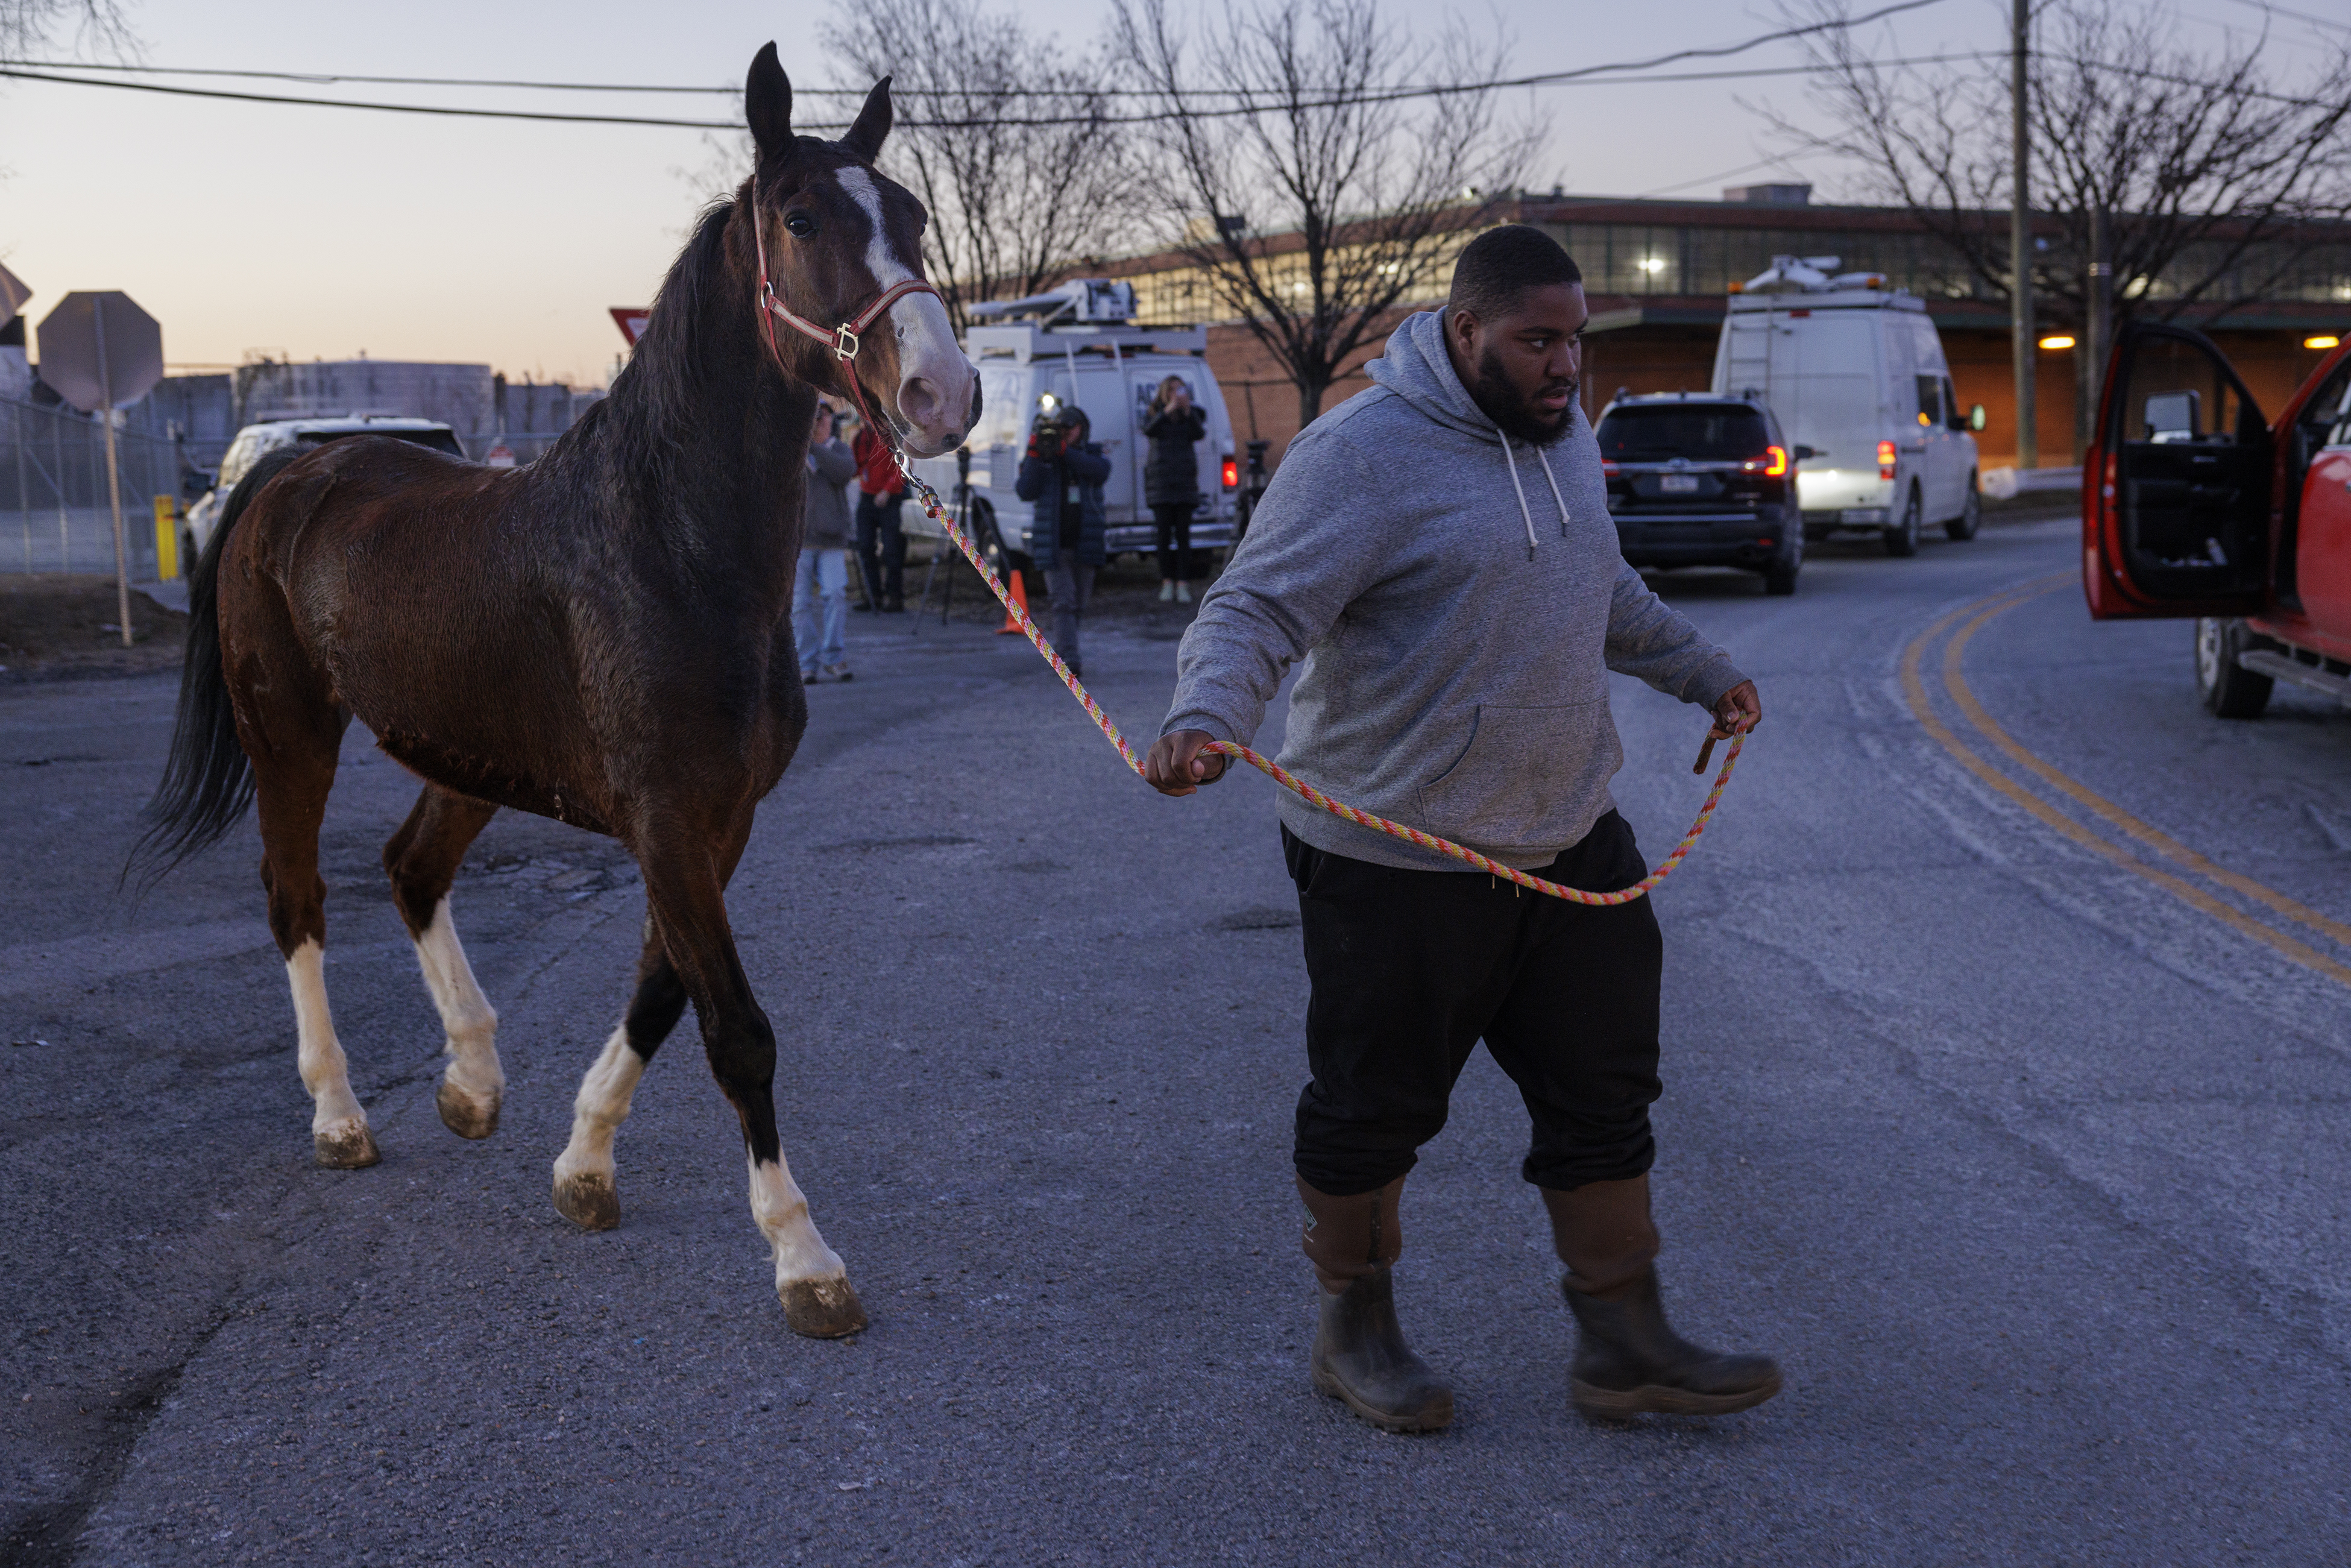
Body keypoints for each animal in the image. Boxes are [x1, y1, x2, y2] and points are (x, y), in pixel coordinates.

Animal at [135, 43, 973, 1335]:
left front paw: (582, 1167)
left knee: (411, 870)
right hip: (294, 736)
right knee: (298, 898)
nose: (943, 395)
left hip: (464, 752)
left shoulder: (716, 823)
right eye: (799, 219)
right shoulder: (668, 822)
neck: (666, 548)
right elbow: (737, 1027)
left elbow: (663, 994)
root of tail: (288, 470)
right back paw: (340, 1115)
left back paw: (473, 1082)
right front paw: (804, 1256)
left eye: (913, 218)